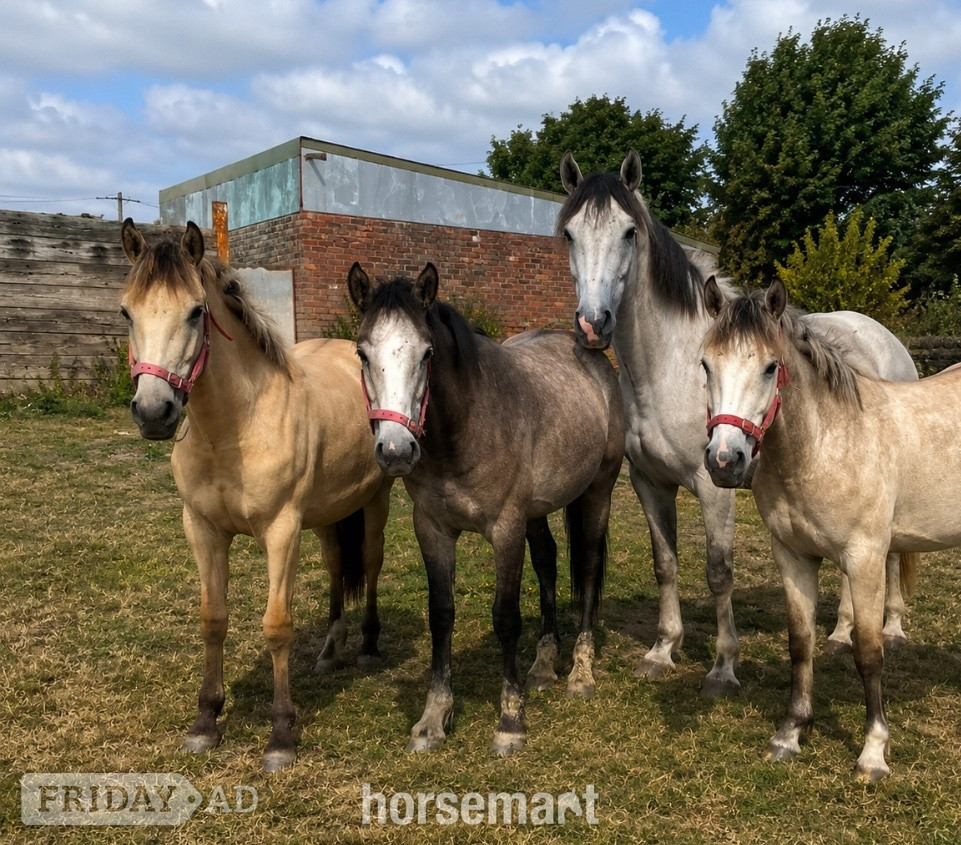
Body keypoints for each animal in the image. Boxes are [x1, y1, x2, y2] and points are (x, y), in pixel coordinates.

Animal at [119, 219, 393, 771]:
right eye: (126, 311)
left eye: (196, 311)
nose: (154, 413)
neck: (235, 427)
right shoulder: (202, 530)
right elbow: (213, 619)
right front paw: (205, 720)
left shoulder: (282, 531)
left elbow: (277, 627)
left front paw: (281, 735)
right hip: (326, 515)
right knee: (337, 567)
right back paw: (330, 652)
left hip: (375, 502)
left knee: (371, 564)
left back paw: (368, 646)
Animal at [347, 262, 624, 755]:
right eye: (362, 353)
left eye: (427, 353)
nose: (396, 451)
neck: (466, 425)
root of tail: (593, 360)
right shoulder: (432, 529)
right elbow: (441, 615)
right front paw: (433, 718)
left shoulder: (505, 529)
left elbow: (506, 618)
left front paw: (510, 721)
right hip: (537, 512)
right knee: (549, 561)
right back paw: (544, 663)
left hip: (598, 492)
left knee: (590, 567)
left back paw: (580, 671)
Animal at [556, 150, 918, 695]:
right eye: (570, 234)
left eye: (629, 232)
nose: (592, 324)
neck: (669, 367)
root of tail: (888, 339)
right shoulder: (648, 482)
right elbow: (666, 564)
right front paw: (662, 650)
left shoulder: (715, 485)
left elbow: (718, 572)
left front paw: (724, 667)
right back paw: (840, 632)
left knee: (892, 554)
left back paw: (892, 629)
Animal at [700, 277, 952, 781]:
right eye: (705, 364)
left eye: (770, 367)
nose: (724, 461)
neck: (824, 444)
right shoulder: (793, 556)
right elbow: (801, 643)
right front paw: (791, 733)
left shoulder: (866, 558)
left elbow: (869, 652)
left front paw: (873, 752)